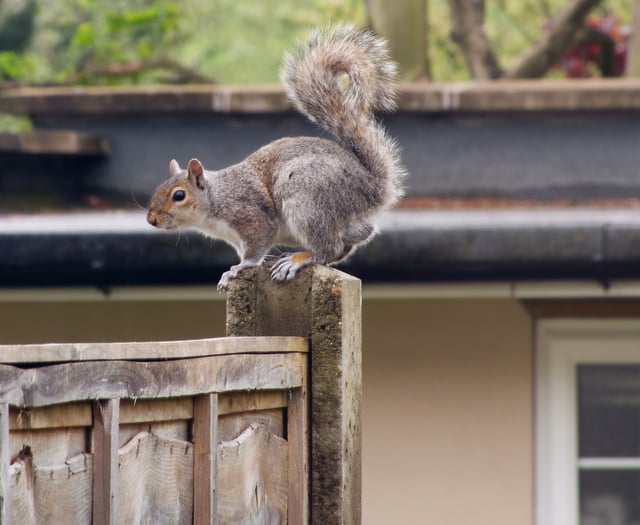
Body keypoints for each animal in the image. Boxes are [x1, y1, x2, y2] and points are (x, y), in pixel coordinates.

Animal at [146, 24, 404, 288]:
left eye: (179, 195)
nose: (151, 220)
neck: (217, 198)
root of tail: (373, 188)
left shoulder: (252, 217)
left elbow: (255, 249)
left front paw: (239, 268)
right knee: (351, 241)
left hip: (307, 199)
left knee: (328, 249)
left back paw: (298, 259)